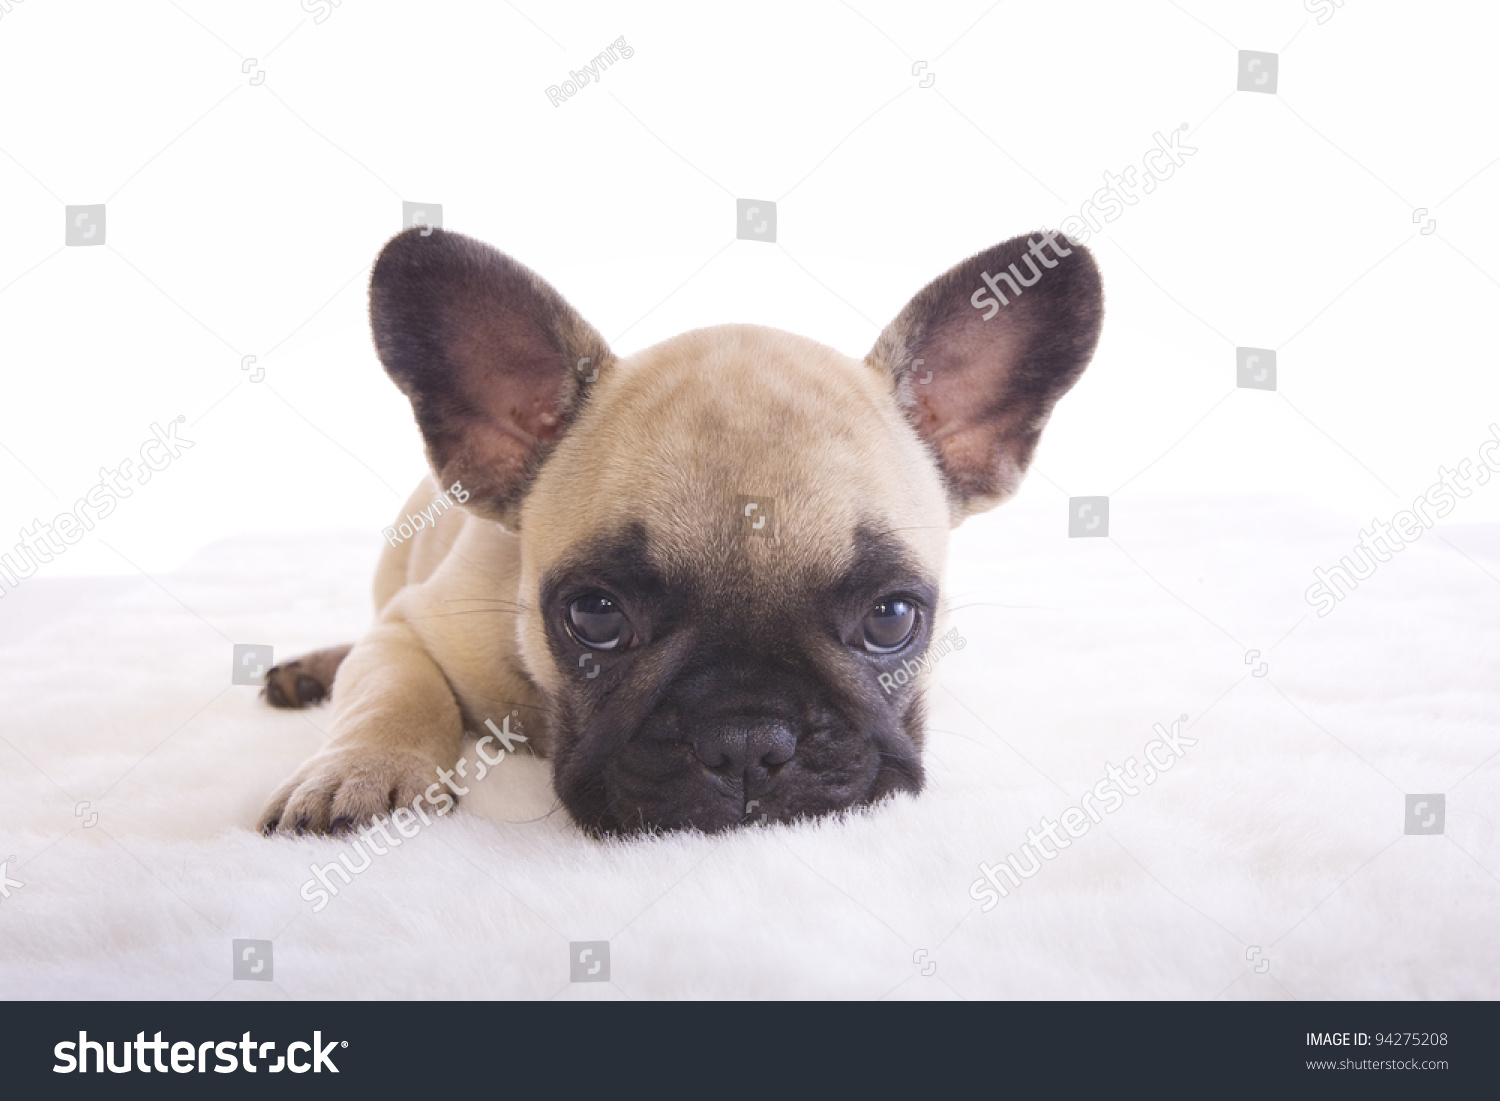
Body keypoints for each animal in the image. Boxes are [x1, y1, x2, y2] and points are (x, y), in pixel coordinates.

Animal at [261, 231, 1104, 834]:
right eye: (595, 615)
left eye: (892, 617)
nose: (747, 740)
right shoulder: (417, 627)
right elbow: (391, 690)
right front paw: (362, 770)